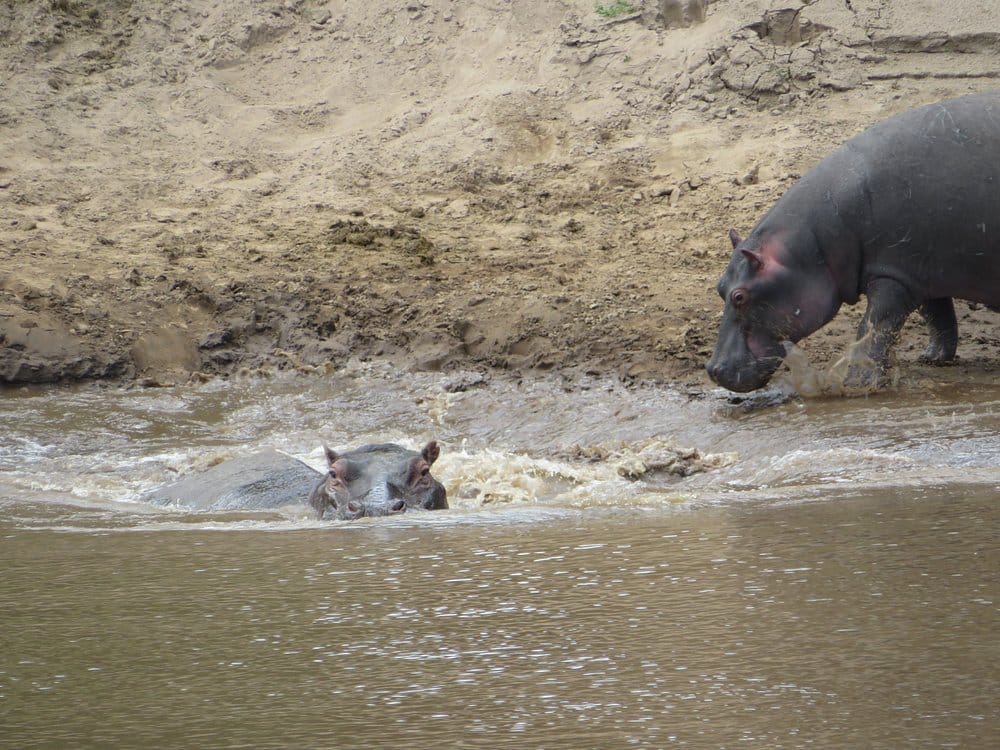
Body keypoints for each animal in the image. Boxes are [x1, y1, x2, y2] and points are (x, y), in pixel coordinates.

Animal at [706, 90, 1000, 392]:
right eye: (719, 287)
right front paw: (932, 358)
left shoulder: (894, 275)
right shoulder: (920, 271)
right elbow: (938, 316)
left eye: (739, 296)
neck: (813, 245)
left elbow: (875, 328)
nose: (713, 370)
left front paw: (855, 382)